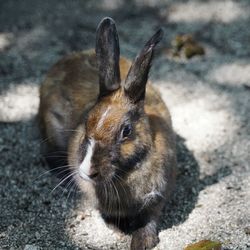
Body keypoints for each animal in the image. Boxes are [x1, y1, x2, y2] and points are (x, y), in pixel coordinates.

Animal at [38, 17, 176, 250]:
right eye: (86, 122)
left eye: (126, 131)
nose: (87, 171)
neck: (125, 173)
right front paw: (119, 231)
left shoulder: (158, 198)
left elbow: (149, 219)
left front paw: (142, 242)